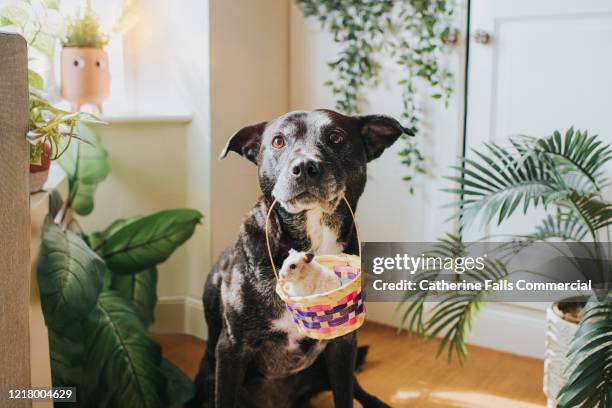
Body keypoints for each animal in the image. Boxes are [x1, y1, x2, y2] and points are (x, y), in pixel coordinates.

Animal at [189, 109, 414, 408]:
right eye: (278, 141)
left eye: (336, 137)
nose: (305, 167)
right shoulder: (232, 349)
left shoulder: (343, 345)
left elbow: (345, 395)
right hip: (208, 377)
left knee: (357, 388)